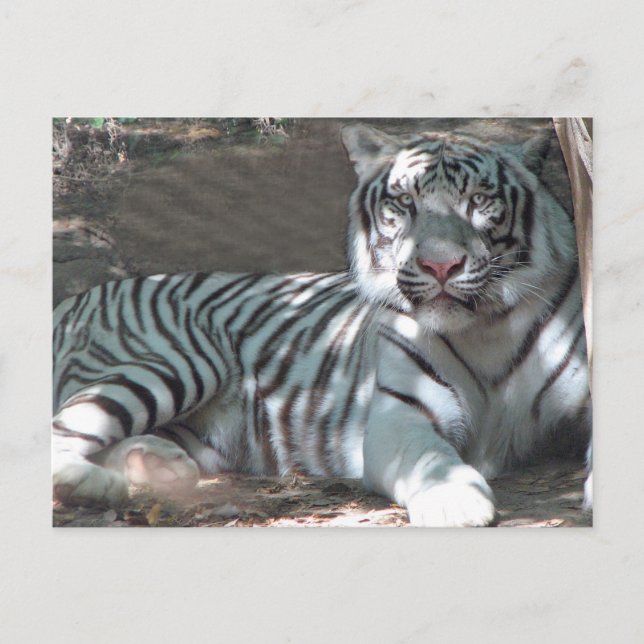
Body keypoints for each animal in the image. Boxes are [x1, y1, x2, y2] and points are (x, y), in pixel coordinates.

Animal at [52, 123, 592, 527]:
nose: (440, 266)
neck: (487, 328)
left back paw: (158, 466)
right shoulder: (401, 413)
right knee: (62, 433)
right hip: (175, 364)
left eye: (479, 201)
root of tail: (75, 299)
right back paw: (99, 485)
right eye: (404, 204)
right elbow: (432, 458)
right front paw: (453, 501)